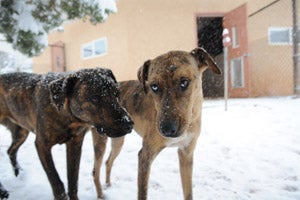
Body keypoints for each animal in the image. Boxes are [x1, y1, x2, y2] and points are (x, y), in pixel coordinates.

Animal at [0, 68, 132, 199]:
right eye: (95, 98)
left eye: (117, 94)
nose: (129, 124)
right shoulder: (42, 145)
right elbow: (56, 181)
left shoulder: (75, 145)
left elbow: (73, 180)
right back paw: (3, 191)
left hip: (21, 133)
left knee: (11, 151)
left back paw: (18, 173)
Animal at [92, 47, 221, 199]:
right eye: (154, 86)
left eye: (184, 82)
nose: (167, 129)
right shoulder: (145, 156)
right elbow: (142, 194)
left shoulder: (186, 153)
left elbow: (188, 192)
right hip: (100, 141)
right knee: (95, 170)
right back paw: (100, 194)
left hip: (118, 140)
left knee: (108, 162)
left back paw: (108, 184)